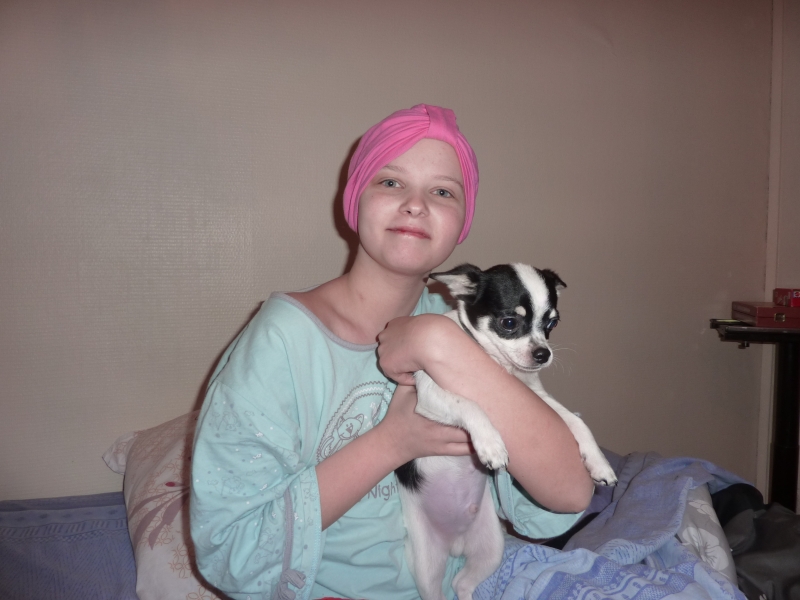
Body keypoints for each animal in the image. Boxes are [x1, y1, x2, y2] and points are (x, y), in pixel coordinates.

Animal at [396, 263, 617, 600]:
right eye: (509, 322)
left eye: (552, 323)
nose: (543, 354)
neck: (497, 365)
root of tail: (456, 544)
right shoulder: (429, 398)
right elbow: (470, 403)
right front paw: (491, 445)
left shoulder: (537, 398)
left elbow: (576, 422)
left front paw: (599, 463)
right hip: (426, 565)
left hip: (491, 548)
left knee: (462, 583)